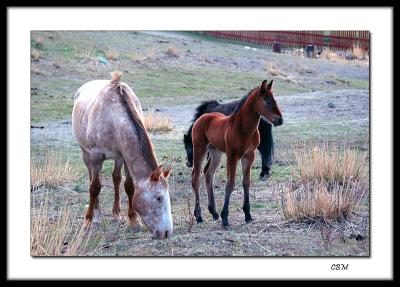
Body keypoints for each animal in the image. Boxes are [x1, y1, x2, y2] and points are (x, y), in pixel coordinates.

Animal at [72, 72, 173, 241]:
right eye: (159, 198)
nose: (166, 233)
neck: (114, 117)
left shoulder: (125, 157)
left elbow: (129, 186)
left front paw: (133, 221)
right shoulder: (95, 156)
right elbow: (94, 187)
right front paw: (88, 222)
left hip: (118, 158)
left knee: (116, 179)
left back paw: (116, 213)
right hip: (86, 154)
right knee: (92, 178)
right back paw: (97, 215)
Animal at [191, 79, 282, 227]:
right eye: (267, 100)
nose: (280, 120)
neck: (243, 129)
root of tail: (202, 117)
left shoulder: (249, 156)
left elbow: (246, 182)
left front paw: (248, 215)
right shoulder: (232, 155)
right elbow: (230, 184)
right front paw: (225, 218)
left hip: (216, 152)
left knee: (208, 173)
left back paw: (214, 213)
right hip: (200, 149)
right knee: (195, 177)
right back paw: (199, 216)